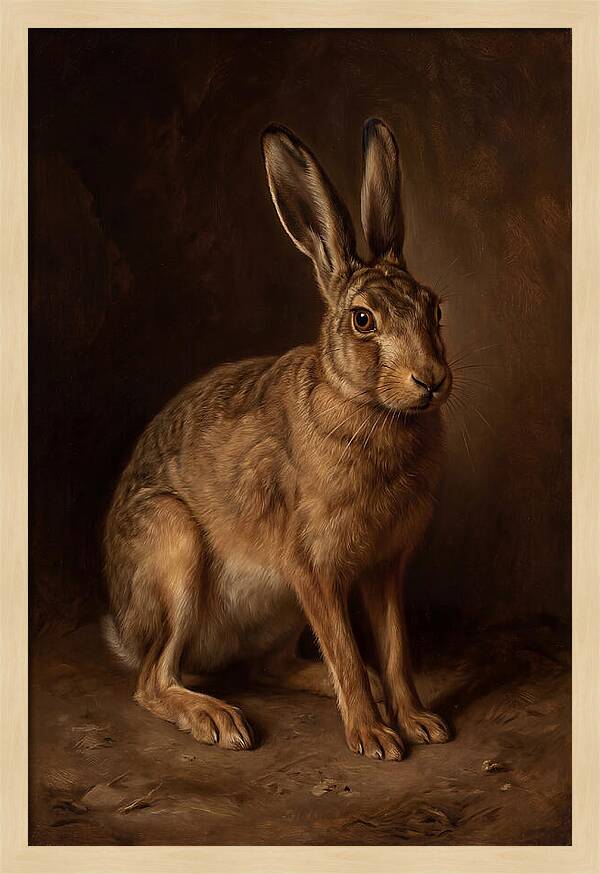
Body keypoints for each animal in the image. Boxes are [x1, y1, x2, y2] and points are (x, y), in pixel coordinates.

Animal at [103, 118, 452, 760]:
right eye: (363, 320)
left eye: (434, 309)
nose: (431, 380)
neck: (369, 407)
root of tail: (123, 626)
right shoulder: (311, 567)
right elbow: (345, 650)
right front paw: (374, 738)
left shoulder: (384, 568)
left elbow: (395, 651)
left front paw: (418, 722)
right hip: (173, 546)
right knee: (152, 680)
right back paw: (217, 719)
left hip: (278, 611)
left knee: (269, 668)